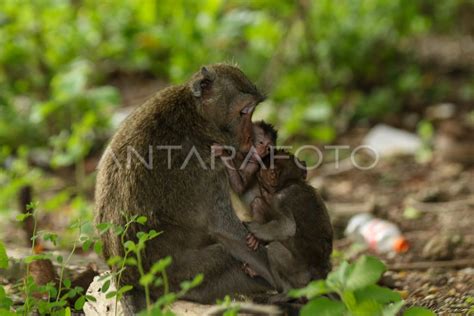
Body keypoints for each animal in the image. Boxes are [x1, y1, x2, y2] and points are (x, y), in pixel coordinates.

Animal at [95, 63, 276, 314]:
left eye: (252, 111)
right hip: (182, 278)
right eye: (244, 112)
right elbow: (224, 230)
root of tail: (124, 279)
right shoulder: (207, 163)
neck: (197, 116)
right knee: (224, 255)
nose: (251, 138)